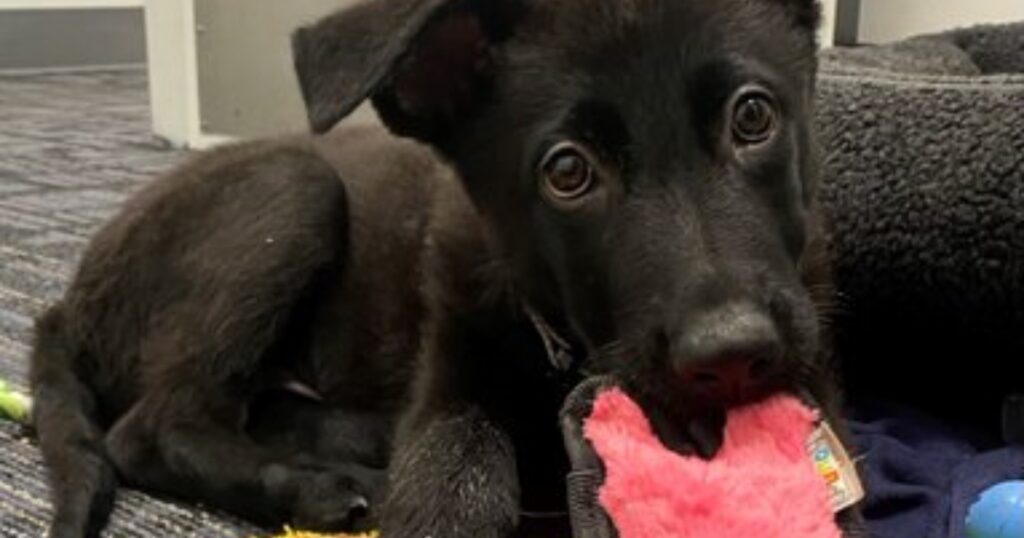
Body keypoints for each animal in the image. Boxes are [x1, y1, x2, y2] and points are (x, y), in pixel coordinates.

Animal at [29, 1, 856, 536]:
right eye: (567, 171)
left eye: (752, 116)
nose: (732, 354)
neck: (556, 352)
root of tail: (66, 303)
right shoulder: (452, 373)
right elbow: (459, 469)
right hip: (292, 189)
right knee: (150, 429)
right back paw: (325, 485)